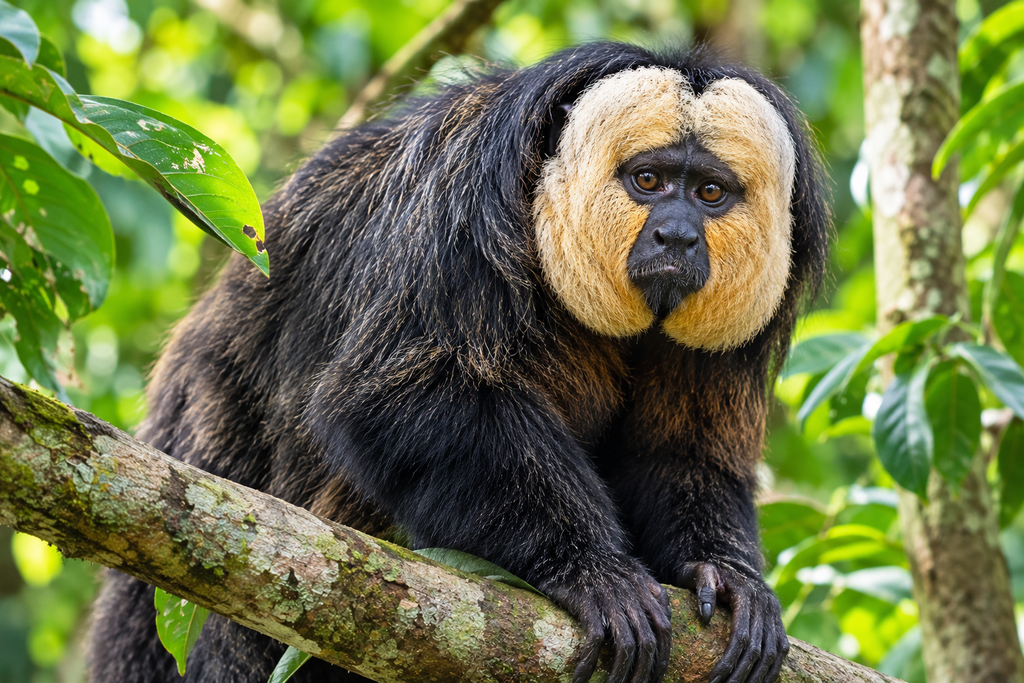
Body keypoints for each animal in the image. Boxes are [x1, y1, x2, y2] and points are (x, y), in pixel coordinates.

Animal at [88, 42, 829, 683]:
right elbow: (397, 398)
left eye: (710, 193)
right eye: (648, 180)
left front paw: (725, 575)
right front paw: (597, 574)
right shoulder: (464, 201)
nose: (676, 236)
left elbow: (680, 451)